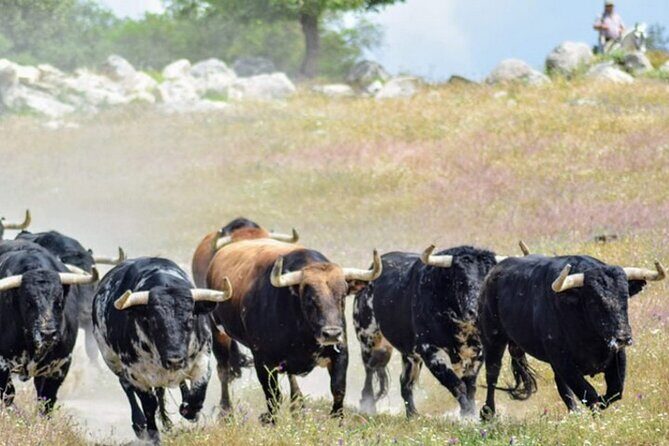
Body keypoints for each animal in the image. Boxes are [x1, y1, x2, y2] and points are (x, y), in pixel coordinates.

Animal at [0, 240, 96, 412]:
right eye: (28, 302)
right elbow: (8, 393)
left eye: (59, 301)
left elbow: (47, 400)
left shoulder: (60, 366)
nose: (48, 334)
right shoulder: (2, 364)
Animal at [92, 257, 232, 444]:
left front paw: (189, 410)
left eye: (190, 319)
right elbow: (149, 405)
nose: (175, 360)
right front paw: (153, 436)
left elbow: (197, 395)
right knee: (126, 386)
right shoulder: (136, 374)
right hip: (112, 360)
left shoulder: (203, 360)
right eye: (153, 322)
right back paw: (139, 424)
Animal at [207, 238, 381, 423]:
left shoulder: (340, 352)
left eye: (342, 297)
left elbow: (338, 389)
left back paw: (297, 404)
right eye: (310, 299)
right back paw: (225, 411)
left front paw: (337, 419)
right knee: (223, 371)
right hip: (219, 333)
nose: (332, 333)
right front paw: (270, 420)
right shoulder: (262, 360)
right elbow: (273, 395)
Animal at [353, 243, 528, 418]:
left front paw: (470, 414)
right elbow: (456, 384)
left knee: (405, 382)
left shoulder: (478, 353)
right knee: (369, 370)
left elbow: (470, 387)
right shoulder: (431, 350)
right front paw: (467, 416)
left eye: (489, 280)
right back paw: (368, 406)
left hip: (410, 355)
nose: (476, 312)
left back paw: (413, 415)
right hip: (368, 338)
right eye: (460, 280)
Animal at [478, 254, 665, 419]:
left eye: (625, 296)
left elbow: (615, 391)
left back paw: (574, 413)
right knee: (492, 375)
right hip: (492, 339)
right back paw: (487, 413)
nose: (623, 337)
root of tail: (492, 275)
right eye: (594, 300)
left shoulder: (617, 355)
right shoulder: (564, 361)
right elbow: (589, 394)